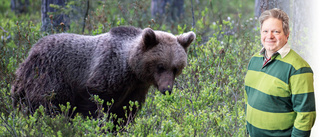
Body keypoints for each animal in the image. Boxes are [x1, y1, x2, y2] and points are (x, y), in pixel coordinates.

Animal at [10, 26, 195, 125]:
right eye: (160, 66)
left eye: (176, 68)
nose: (167, 89)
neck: (131, 69)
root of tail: (30, 54)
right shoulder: (105, 76)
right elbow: (97, 106)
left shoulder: (136, 89)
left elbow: (126, 113)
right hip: (49, 77)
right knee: (49, 106)